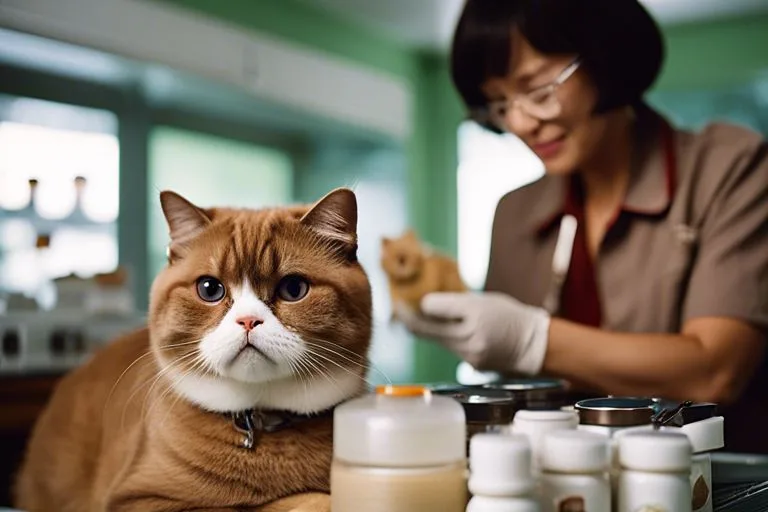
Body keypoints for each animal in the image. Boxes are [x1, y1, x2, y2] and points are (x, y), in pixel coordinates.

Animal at [12, 188, 372, 512]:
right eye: (210, 289)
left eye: (293, 288)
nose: (248, 320)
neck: (258, 422)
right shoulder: (141, 500)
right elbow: (266, 505)